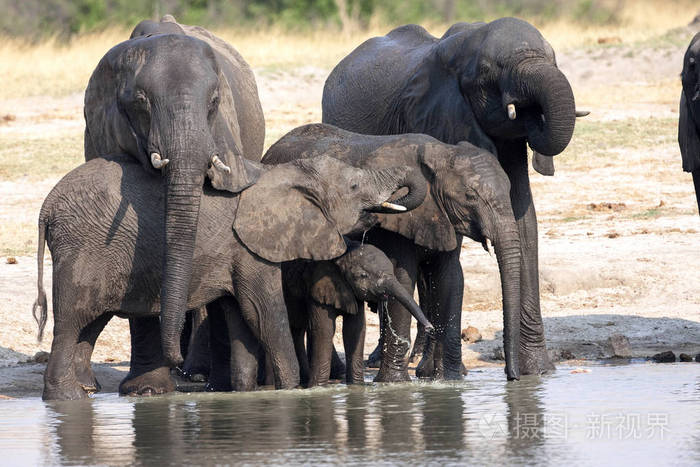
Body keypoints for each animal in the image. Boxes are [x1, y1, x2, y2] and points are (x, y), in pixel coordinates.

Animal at [32, 152, 424, 400]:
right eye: (354, 189)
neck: (281, 173)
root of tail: (46, 207)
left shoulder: (240, 252)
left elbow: (243, 318)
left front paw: (246, 395)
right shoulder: (251, 246)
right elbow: (264, 315)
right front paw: (291, 393)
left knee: (89, 325)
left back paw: (83, 394)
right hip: (83, 251)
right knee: (72, 320)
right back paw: (67, 398)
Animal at [260, 125, 524, 384]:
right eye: (470, 196)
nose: (512, 376)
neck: (441, 152)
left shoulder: (445, 218)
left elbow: (450, 280)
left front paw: (449, 380)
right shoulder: (398, 224)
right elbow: (403, 278)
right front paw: (394, 383)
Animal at [322, 17, 592, 380]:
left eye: (552, 57)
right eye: (489, 72)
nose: (511, 376)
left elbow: (523, 222)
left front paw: (537, 372)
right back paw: (388, 361)